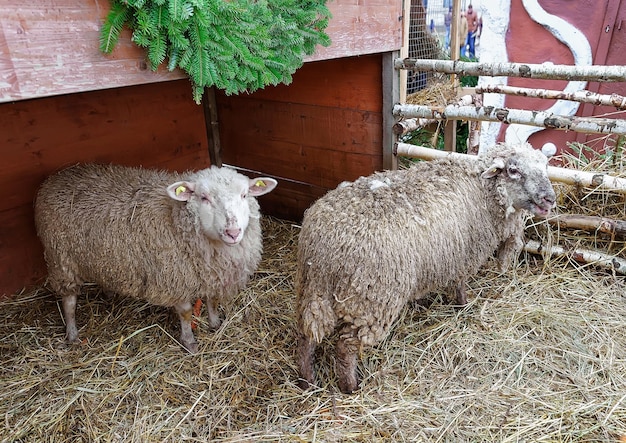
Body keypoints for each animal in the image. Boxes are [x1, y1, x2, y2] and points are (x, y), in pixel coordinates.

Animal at [34, 163, 276, 354]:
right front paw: (189, 342)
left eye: (244, 195)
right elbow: (186, 313)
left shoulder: (212, 273)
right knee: (69, 302)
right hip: (61, 259)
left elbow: (212, 301)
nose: (233, 232)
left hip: (102, 257)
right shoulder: (174, 277)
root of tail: (59, 175)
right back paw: (72, 334)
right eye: (204, 197)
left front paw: (215, 324)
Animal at [294, 144, 552, 394]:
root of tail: (326, 246)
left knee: (308, 335)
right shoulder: (464, 254)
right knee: (345, 346)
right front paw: (463, 305)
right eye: (513, 170)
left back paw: (307, 380)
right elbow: (460, 283)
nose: (550, 198)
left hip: (313, 291)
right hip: (372, 300)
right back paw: (350, 386)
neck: (482, 189)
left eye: (545, 167)